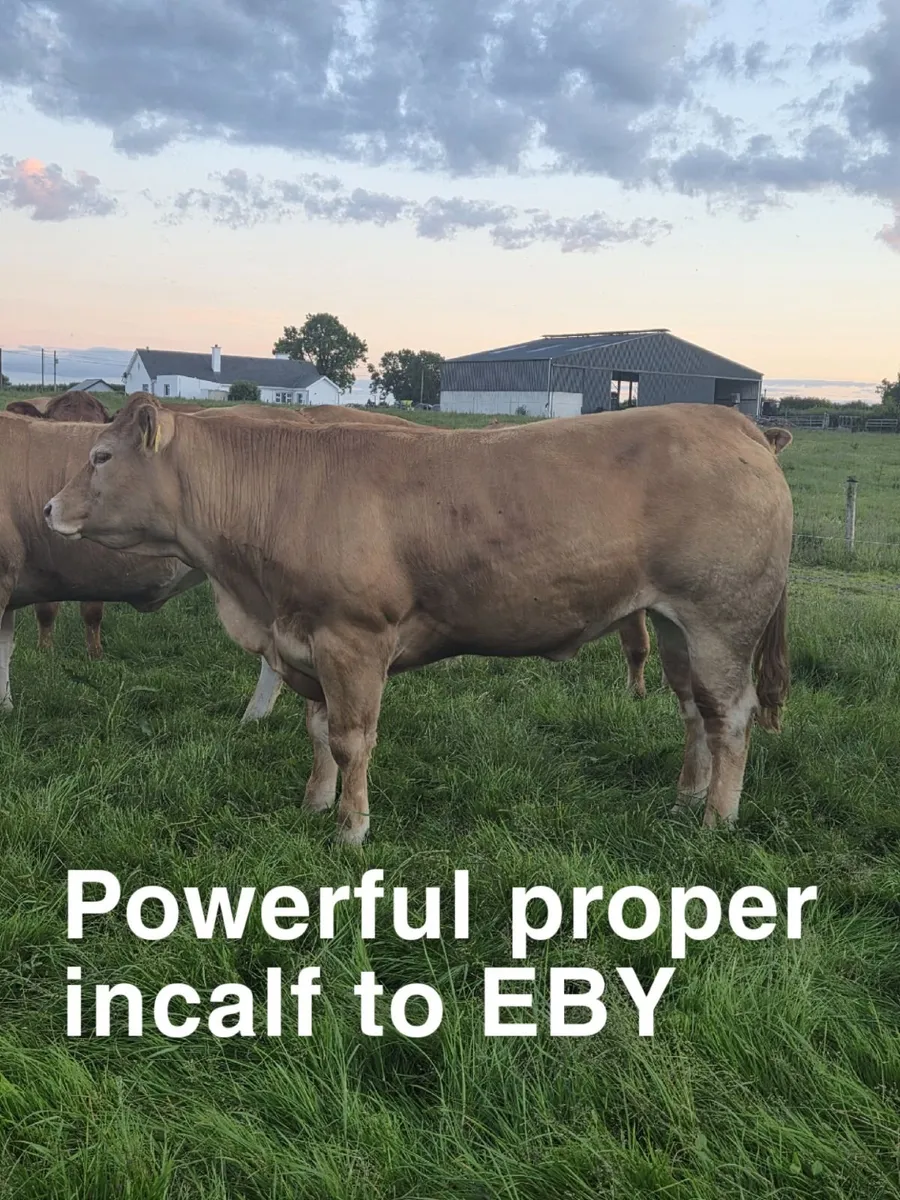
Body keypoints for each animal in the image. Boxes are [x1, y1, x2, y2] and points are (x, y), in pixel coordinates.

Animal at [46, 397, 793, 844]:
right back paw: (685, 795)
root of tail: (734, 422)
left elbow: (351, 739)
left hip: (722, 621)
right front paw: (315, 801)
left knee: (731, 715)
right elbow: (317, 731)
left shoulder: (353, 640)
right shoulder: (306, 641)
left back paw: (717, 817)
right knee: (693, 709)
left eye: (101, 456)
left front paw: (351, 827)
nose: (49, 510)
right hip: (673, 625)